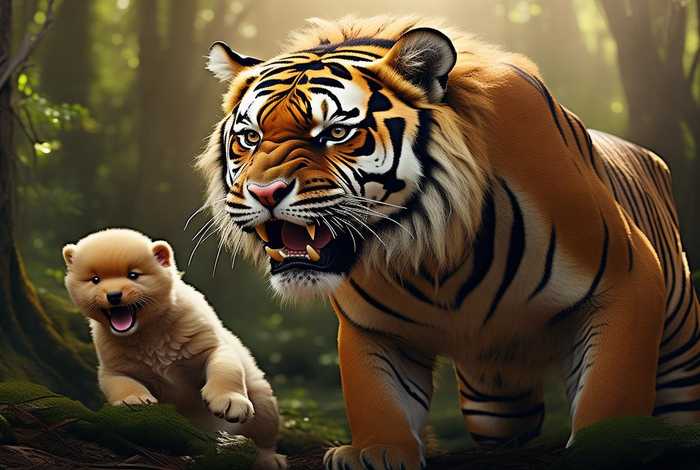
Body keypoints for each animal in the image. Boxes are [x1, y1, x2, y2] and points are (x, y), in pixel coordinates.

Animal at [196, 15, 700, 470]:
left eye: (336, 132)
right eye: (250, 138)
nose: (265, 193)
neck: (437, 253)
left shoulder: (626, 284)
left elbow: (610, 389)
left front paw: (608, 446)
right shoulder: (374, 330)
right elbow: (378, 395)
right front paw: (377, 452)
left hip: (680, 358)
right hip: (492, 404)